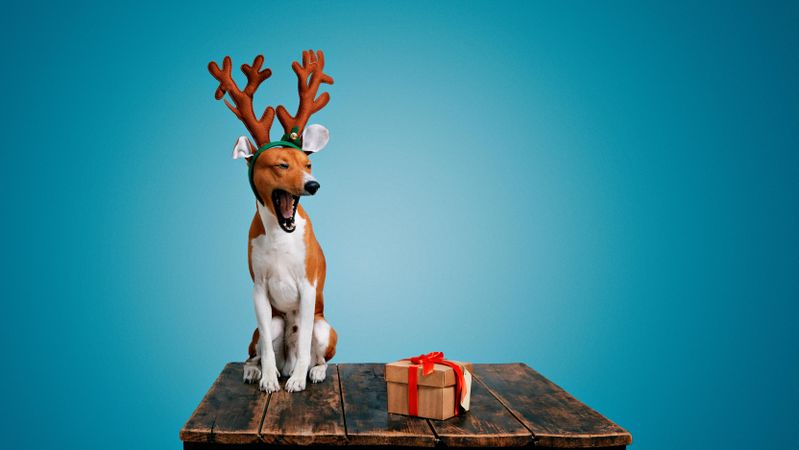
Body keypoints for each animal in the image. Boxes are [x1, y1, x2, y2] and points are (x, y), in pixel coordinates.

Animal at [208, 50, 336, 394]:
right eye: (281, 165)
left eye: (308, 164)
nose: (313, 185)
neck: (281, 233)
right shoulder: (259, 293)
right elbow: (265, 345)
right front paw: (267, 378)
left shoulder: (308, 289)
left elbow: (304, 343)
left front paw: (298, 380)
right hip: (273, 323)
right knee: (255, 352)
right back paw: (257, 371)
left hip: (324, 327)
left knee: (315, 351)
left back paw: (312, 371)